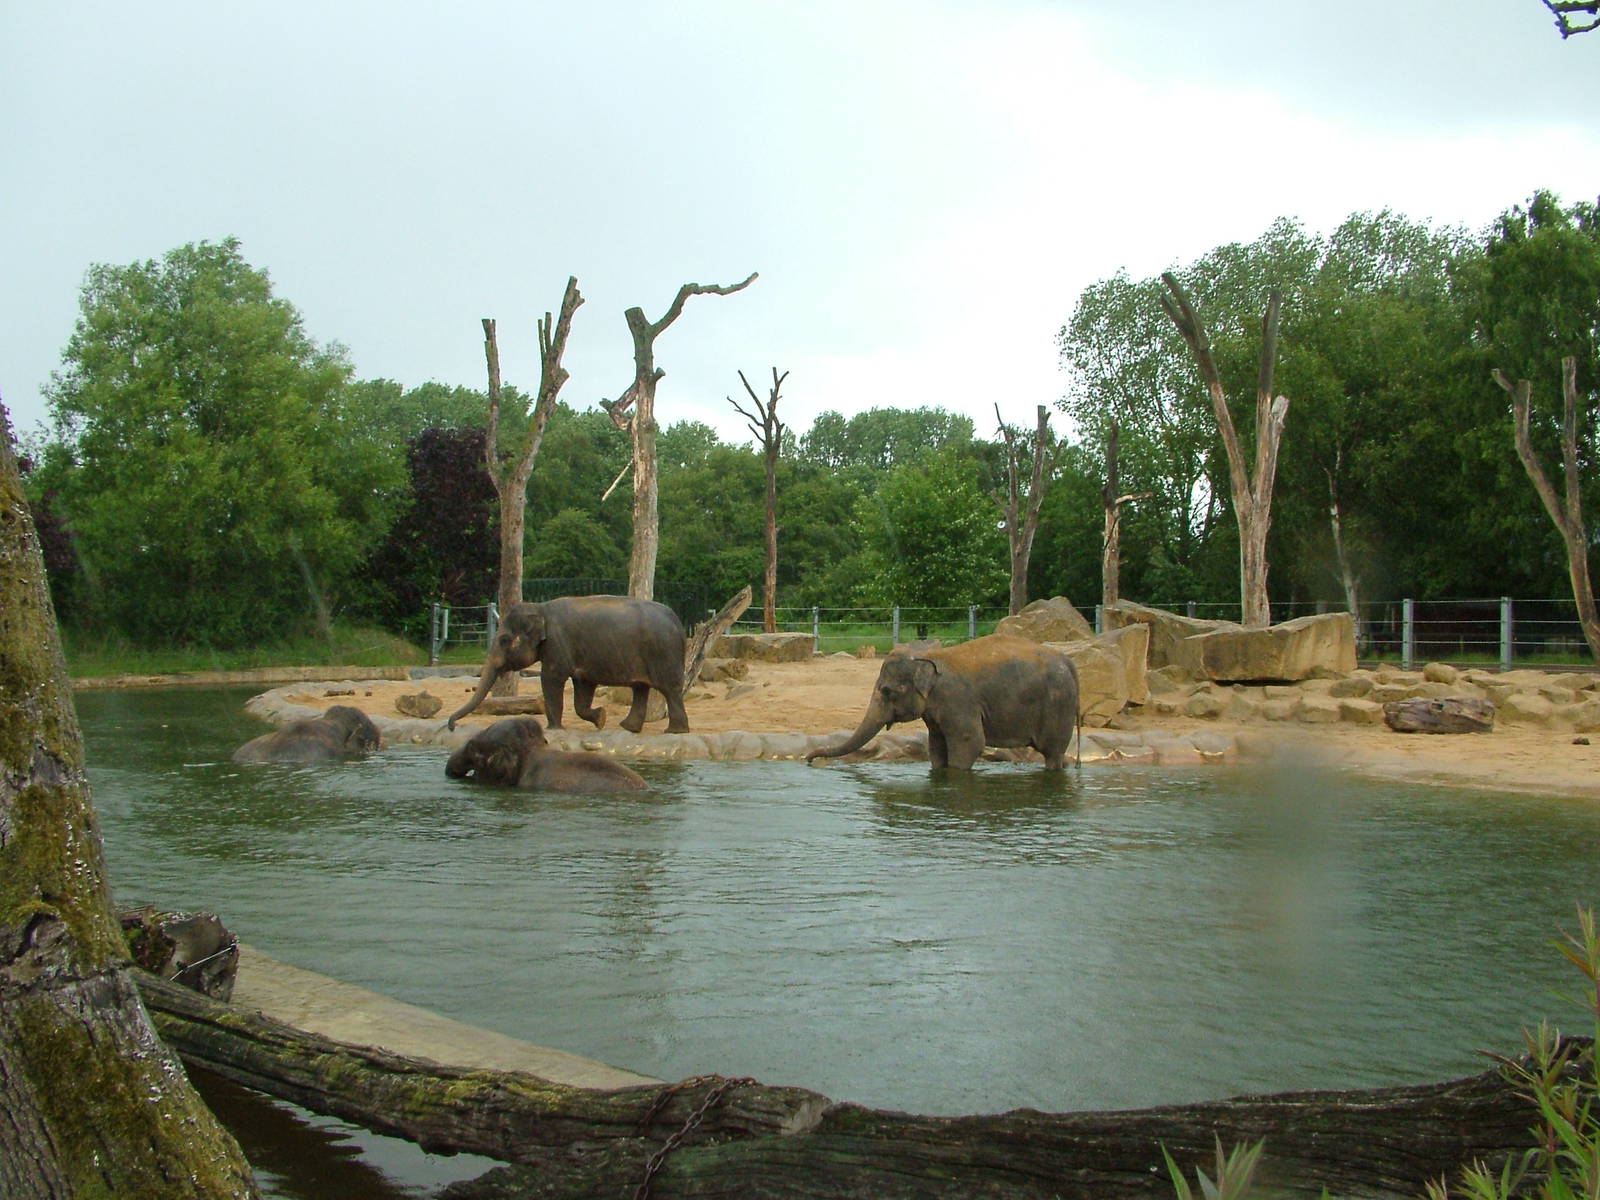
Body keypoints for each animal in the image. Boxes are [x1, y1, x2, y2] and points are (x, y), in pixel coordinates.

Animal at [447, 595, 690, 734]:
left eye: (504, 640)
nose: (452, 726)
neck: (540, 608)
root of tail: (677, 620)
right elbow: (583, 687)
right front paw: (600, 718)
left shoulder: (557, 643)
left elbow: (551, 679)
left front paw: (554, 729)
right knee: (641, 688)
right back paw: (628, 728)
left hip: (663, 653)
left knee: (669, 690)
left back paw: (675, 732)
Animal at [807, 634, 1079, 770]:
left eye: (886, 691)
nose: (811, 760)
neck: (928, 656)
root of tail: (1069, 661)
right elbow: (936, 746)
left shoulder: (957, 701)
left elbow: (970, 743)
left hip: (1058, 706)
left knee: (1052, 751)